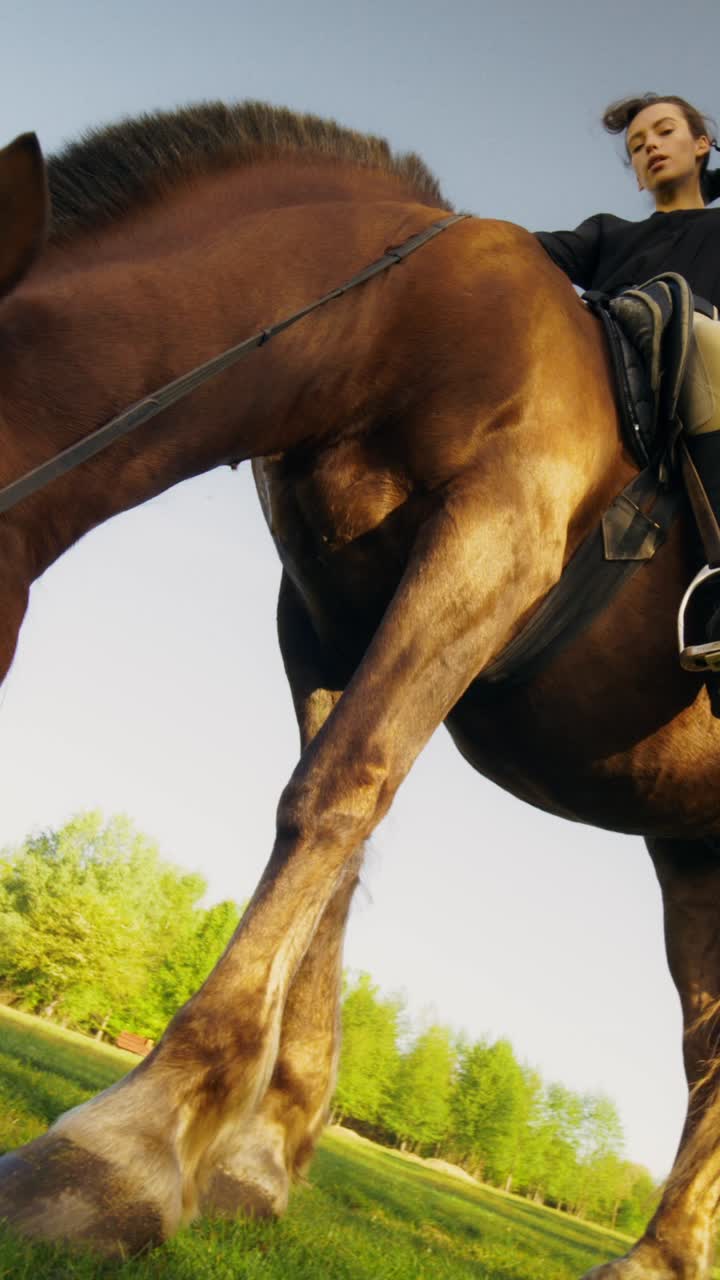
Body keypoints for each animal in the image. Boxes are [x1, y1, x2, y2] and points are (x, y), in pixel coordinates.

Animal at [0, 100, 717, 1280]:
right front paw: (257, 1150)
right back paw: (663, 1252)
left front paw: (121, 1150)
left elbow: (333, 795)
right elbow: (333, 836)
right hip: (692, 844)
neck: (392, 323)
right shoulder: (322, 615)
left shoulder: (492, 541)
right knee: (710, 1036)